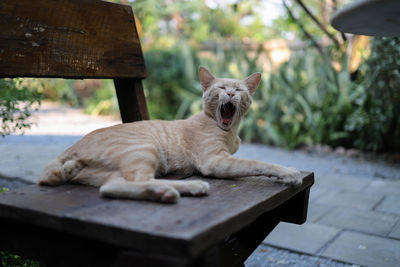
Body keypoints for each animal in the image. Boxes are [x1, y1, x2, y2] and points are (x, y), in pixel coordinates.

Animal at [38, 67, 300, 203]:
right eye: (220, 88)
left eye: (239, 89)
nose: (230, 94)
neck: (228, 129)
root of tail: (69, 150)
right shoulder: (215, 161)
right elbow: (257, 163)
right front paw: (288, 172)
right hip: (145, 149)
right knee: (131, 183)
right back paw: (182, 187)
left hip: (107, 171)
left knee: (112, 186)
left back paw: (175, 190)